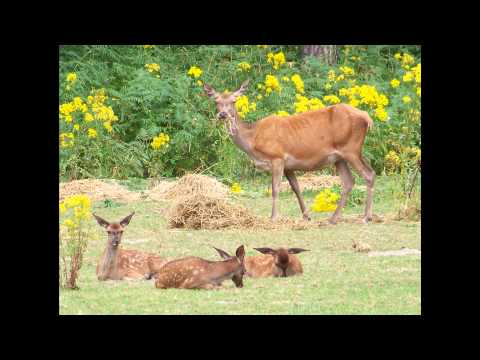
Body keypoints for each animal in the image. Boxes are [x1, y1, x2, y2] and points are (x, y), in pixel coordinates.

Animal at [202, 80, 376, 224]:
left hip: (351, 149)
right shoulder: (288, 165)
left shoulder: (277, 157)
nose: (223, 114)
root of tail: (367, 118)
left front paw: (273, 217)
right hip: (339, 158)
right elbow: (296, 188)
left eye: (234, 101)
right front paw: (306, 216)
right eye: (216, 101)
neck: (253, 140)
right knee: (348, 181)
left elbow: (275, 189)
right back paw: (333, 218)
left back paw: (366, 217)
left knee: (369, 174)